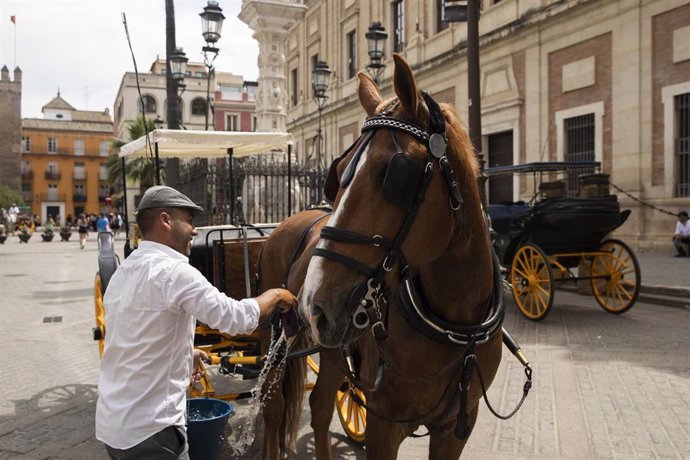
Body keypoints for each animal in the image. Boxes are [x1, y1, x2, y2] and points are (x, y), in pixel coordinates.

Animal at [256, 54, 500, 460]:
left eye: (392, 174)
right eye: (338, 172)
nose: (313, 304)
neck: (455, 324)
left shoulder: (456, 426)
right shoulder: (383, 425)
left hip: (332, 352)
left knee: (320, 405)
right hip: (274, 338)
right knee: (274, 408)